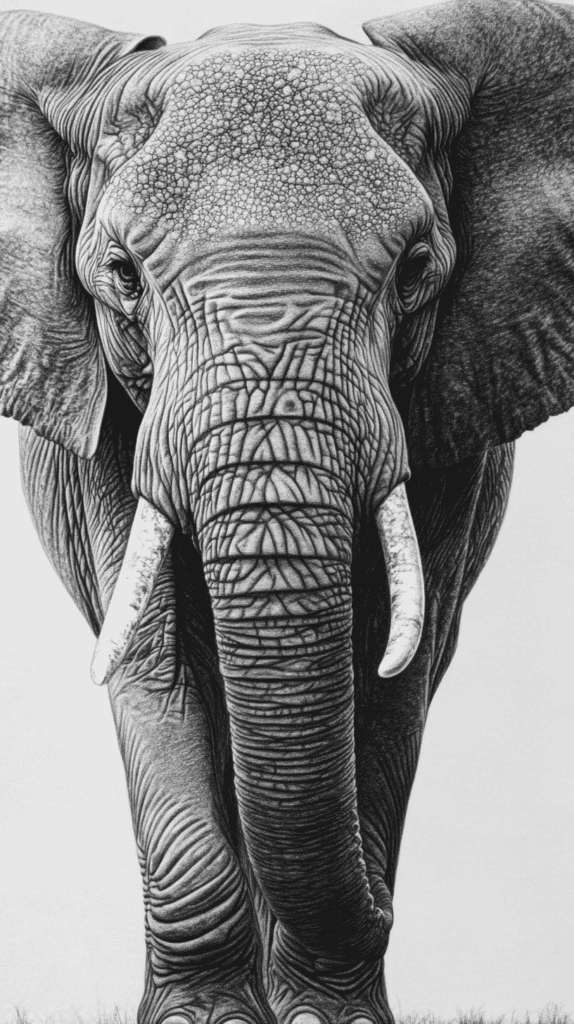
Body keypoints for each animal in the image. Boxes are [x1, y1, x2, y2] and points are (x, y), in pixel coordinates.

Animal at [1, 0, 573, 1020]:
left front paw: (324, 1016)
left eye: (416, 267)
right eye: (122, 273)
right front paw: (210, 1020)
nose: (385, 909)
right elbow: (151, 661)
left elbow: (394, 672)